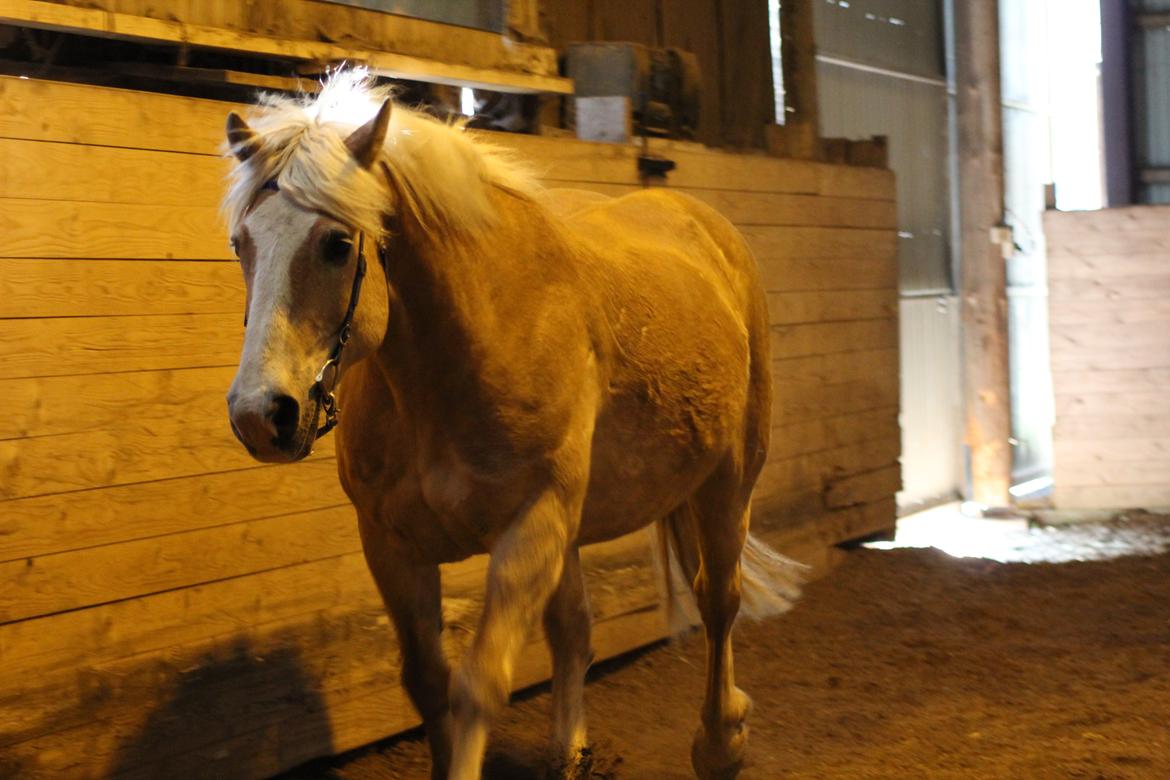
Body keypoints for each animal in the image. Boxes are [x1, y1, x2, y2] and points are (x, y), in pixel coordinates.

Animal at [222, 71, 800, 780]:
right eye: (241, 244)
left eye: (336, 244)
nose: (260, 415)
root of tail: (708, 228)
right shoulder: (392, 545)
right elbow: (428, 682)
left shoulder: (530, 528)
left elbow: (479, 686)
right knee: (576, 630)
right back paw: (570, 752)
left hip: (727, 482)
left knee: (718, 600)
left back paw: (719, 744)